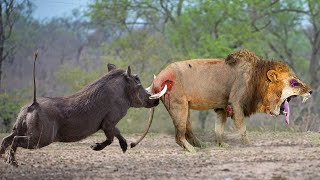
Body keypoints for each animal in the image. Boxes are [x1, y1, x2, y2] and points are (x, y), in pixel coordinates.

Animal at [129, 48, 310, 152]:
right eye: (294, 82)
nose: (311, 91)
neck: (258, 79)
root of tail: (157, 79)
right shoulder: (236, 103)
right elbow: (242, 127)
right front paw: (247, 144)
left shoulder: (222, 107)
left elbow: (219, 129)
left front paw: (222, 145)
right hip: (178, 105)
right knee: (179, 135)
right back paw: (192, 150)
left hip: (183, 106)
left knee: (187, 130)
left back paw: (202, 146)